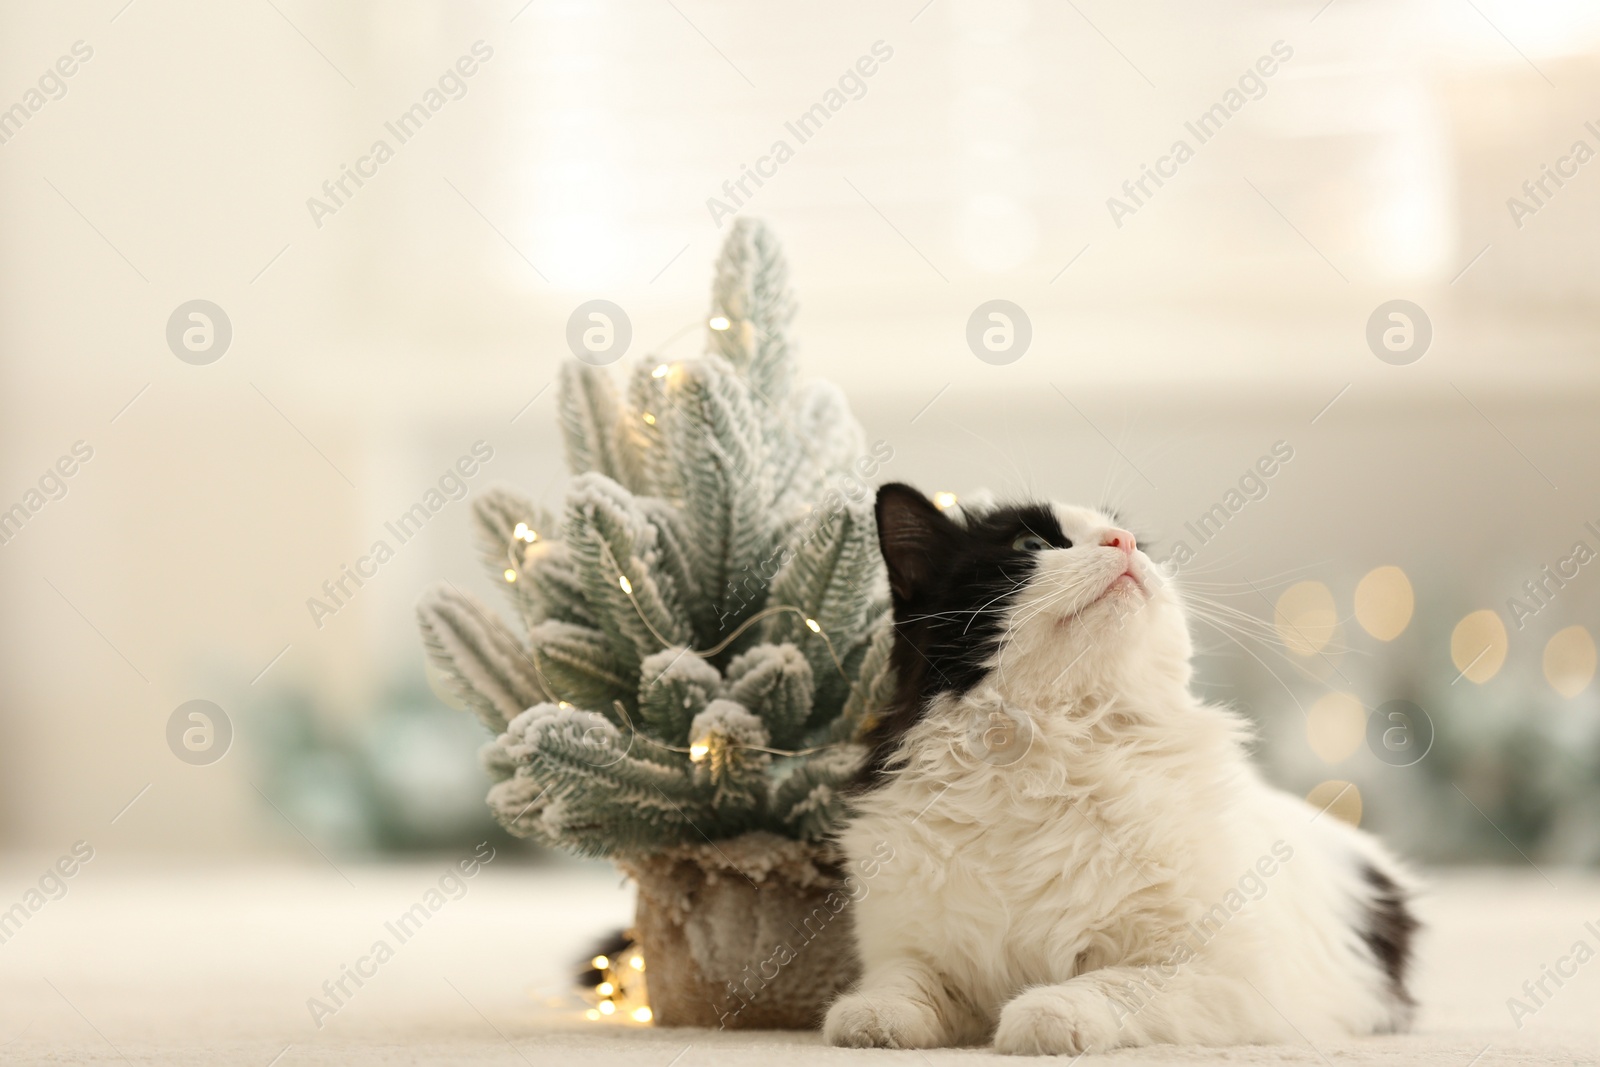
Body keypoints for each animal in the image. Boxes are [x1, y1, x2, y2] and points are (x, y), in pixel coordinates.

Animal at [819, 489, 1420, 1055]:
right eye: (1029, 544)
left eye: (1140, 543)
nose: (1124, 543)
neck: (1048, 764)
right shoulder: (906, 948)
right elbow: (902, 984)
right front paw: (870, 1020)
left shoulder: (1223, 973)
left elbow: (1109, 985)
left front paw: (1044, 1015)